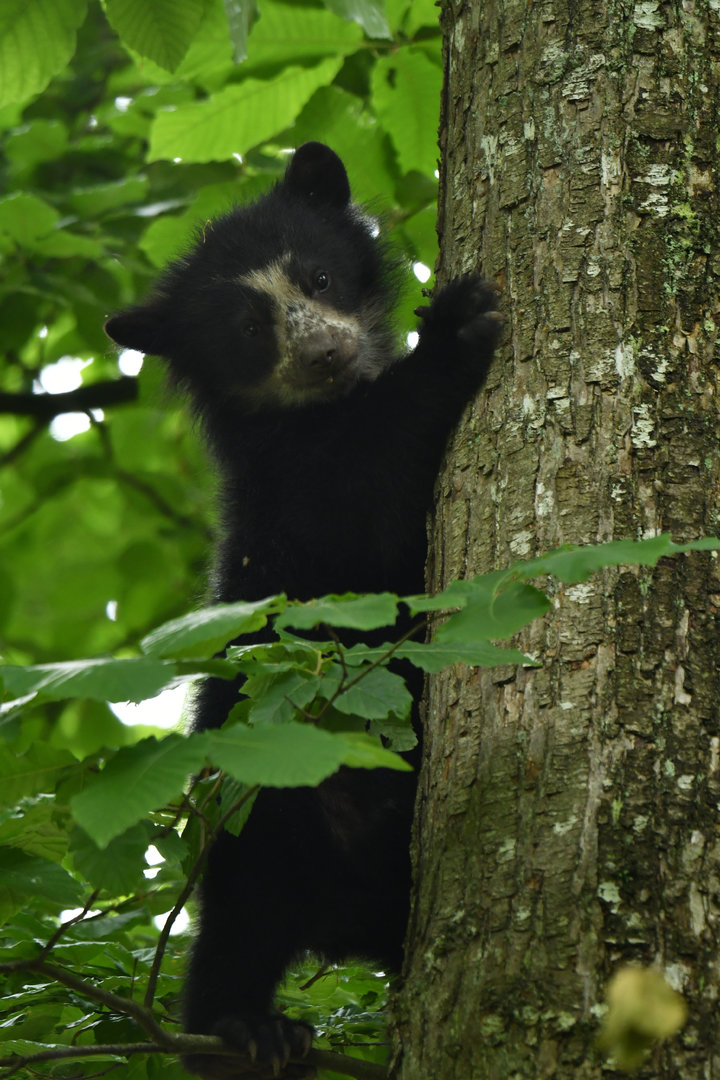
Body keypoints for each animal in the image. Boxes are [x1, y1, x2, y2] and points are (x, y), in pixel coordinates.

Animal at [105, 141, 502, 1077]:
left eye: (317, 276)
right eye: (251, 331)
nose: (324, 352)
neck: (316, 407)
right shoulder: (296, 491)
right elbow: (369, 483)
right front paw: (456, 324)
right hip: (267, 784)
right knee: (244, 910)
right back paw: (244, 1029)